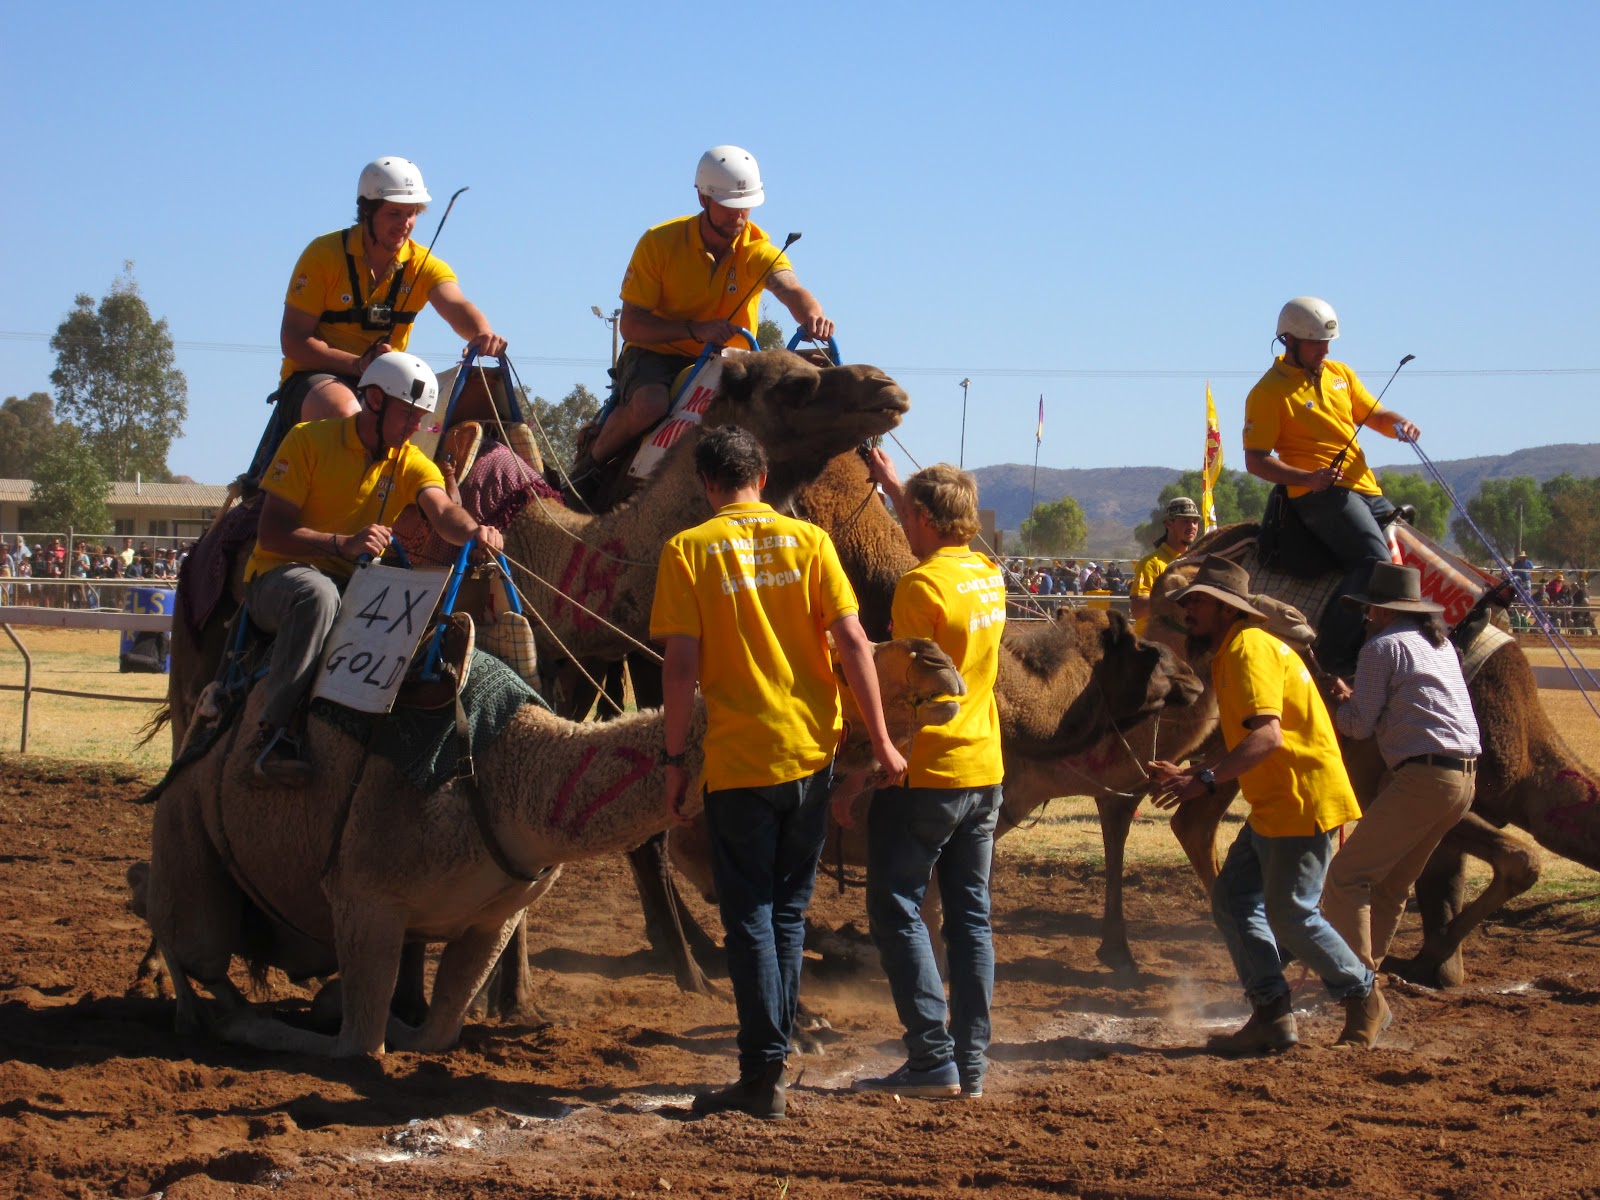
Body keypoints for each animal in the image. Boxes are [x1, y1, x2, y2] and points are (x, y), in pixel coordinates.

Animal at [144, 636, 964, 1057]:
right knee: (185, 931)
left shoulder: (496, 912)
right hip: (186, 823)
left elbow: (432, 1035)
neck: (511, 772)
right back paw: (198, 1008)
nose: (940, 658)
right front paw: (281, 1022)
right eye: (855, 654)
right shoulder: (364, 896)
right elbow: (360, 1047)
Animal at [1143, 524, 1600, 987]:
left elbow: (1445, 884)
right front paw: (1424, 958)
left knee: (1194, 820)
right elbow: (1521, 860)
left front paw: (1432, 965)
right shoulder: (1398, 782)